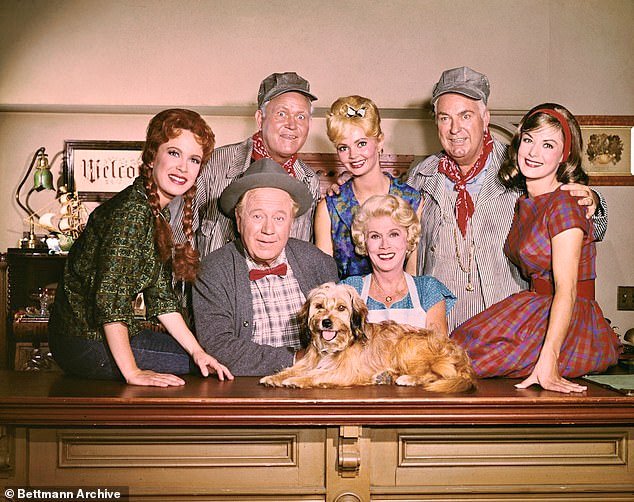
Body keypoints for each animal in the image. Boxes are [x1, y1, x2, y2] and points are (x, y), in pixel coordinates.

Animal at [258, 282, 474, 392]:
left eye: (341, 308)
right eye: (319, 306)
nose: (326, 322)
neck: (337, 345)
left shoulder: (344, 371)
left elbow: (316, 375)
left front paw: (297, 380)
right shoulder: (309, 361)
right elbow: (294, 369)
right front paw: (275, 377)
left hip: (407, 346)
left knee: (438, 374)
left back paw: (408, 379)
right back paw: (386, 376)